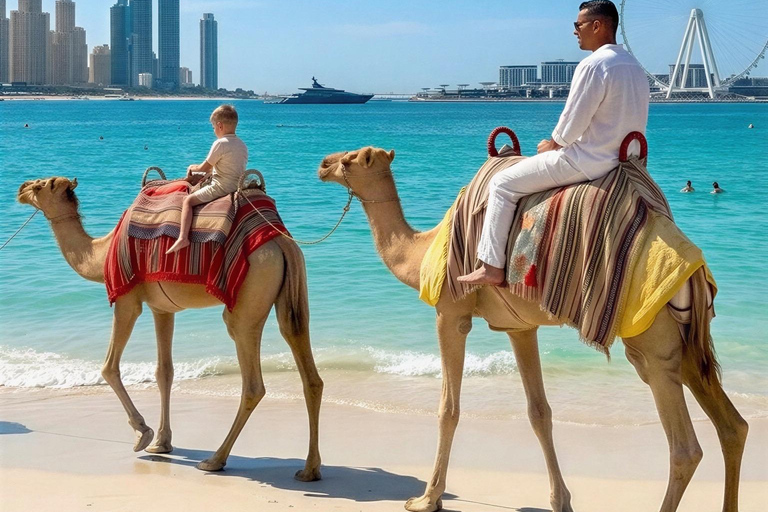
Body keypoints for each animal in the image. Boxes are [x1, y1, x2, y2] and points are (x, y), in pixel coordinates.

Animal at [16, 177, 323, 481]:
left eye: (42, 185)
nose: (21, 189)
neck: (101, 252)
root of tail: (281, 242)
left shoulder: (127, 299)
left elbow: (109, 368)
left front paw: (142, 433)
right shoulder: (162, 308)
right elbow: (164, 371)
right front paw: (161, 443)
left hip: (248, 301)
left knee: (252, 382)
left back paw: (215, 460)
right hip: (290, 294)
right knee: (307, 367)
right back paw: (309, 469)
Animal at [318, 147, 748, 512]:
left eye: (353, 158)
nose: (323, 163)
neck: (423, 252)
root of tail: (694, 271)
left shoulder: (450, 314)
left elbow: (448, 408)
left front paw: (427, 499)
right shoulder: (519, 328)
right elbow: (539, 412)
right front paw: (562, 501)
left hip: (651, 340)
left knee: (685, 448)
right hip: (688, 341)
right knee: (733, 427)